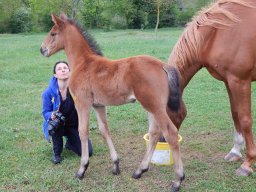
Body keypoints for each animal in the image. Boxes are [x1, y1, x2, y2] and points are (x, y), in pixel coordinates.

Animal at [40, 13, 184, 190]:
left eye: (53, 33)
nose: (42, 49)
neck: (83, 63)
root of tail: (163, 65)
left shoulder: (82, 103)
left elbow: (83, 131)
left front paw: (82, 169)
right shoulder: (99, 105)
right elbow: (104, 130)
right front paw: (115, 165)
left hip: (155, 107)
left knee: (171, 134)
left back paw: (178, 179)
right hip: (152, 107)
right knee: (154, 134)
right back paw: (139, 171)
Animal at [168, 0, 256, 177]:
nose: (162, 140)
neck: (218, 33)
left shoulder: (240, 81)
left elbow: (245, 119)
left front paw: (247, 164)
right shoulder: (229, 81)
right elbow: (235, 114)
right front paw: (235, 151)